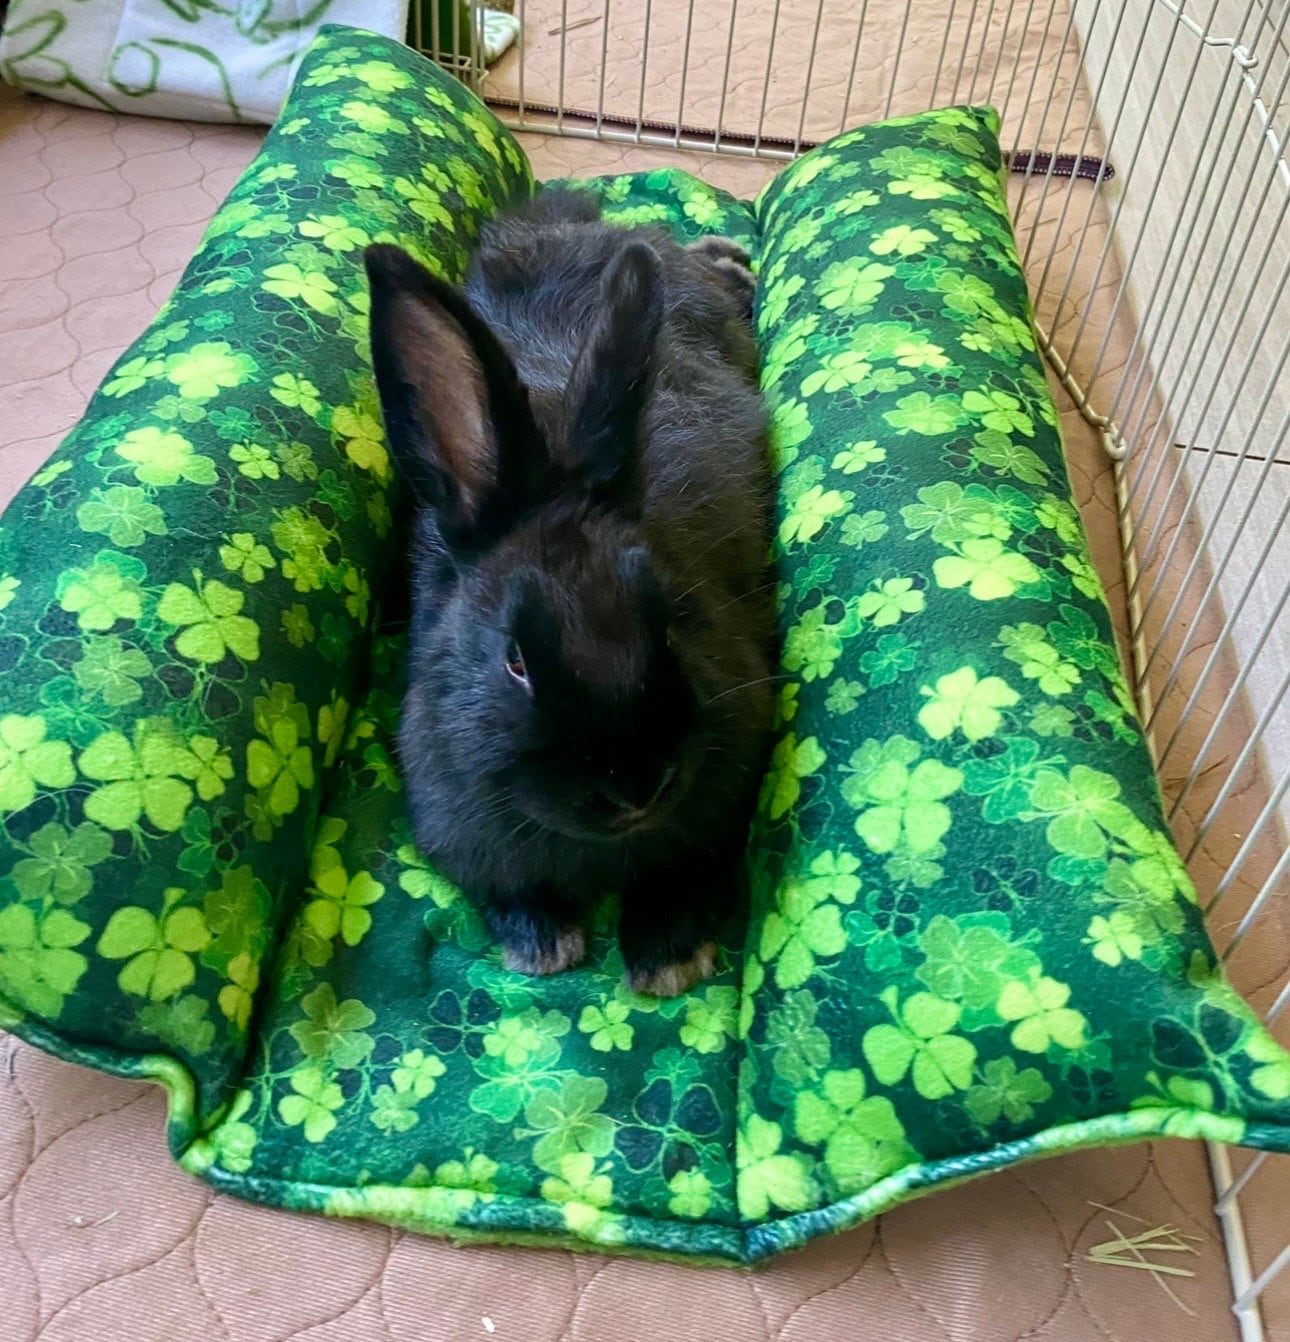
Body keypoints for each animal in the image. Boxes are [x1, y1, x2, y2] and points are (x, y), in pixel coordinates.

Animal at [364, 188, 775, 997]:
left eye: (673, 621)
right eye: (515, 661)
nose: (637, 788)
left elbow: (687, 875)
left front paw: (666, 961)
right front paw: (544, 944)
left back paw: (731, 260)